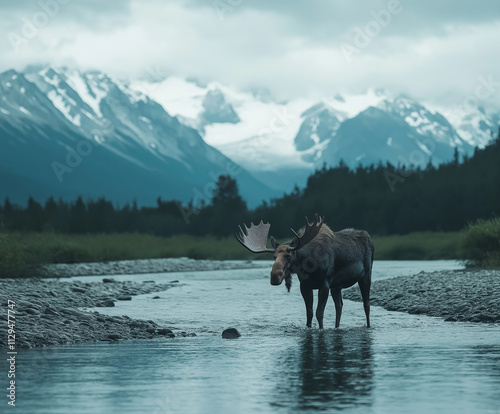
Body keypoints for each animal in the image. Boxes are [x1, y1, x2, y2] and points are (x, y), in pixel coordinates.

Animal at [236, 215, 374, 328]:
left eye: (288, 255)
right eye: (274, 256)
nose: (275, 276)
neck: (309, 264)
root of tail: (368, 236)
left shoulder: (324, 284)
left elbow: (319, 313)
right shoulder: (305, 285)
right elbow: (309, 313)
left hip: (366, 275)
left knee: (366, 304)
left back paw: (368, 326)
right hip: (337, 286)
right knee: (339, 306)